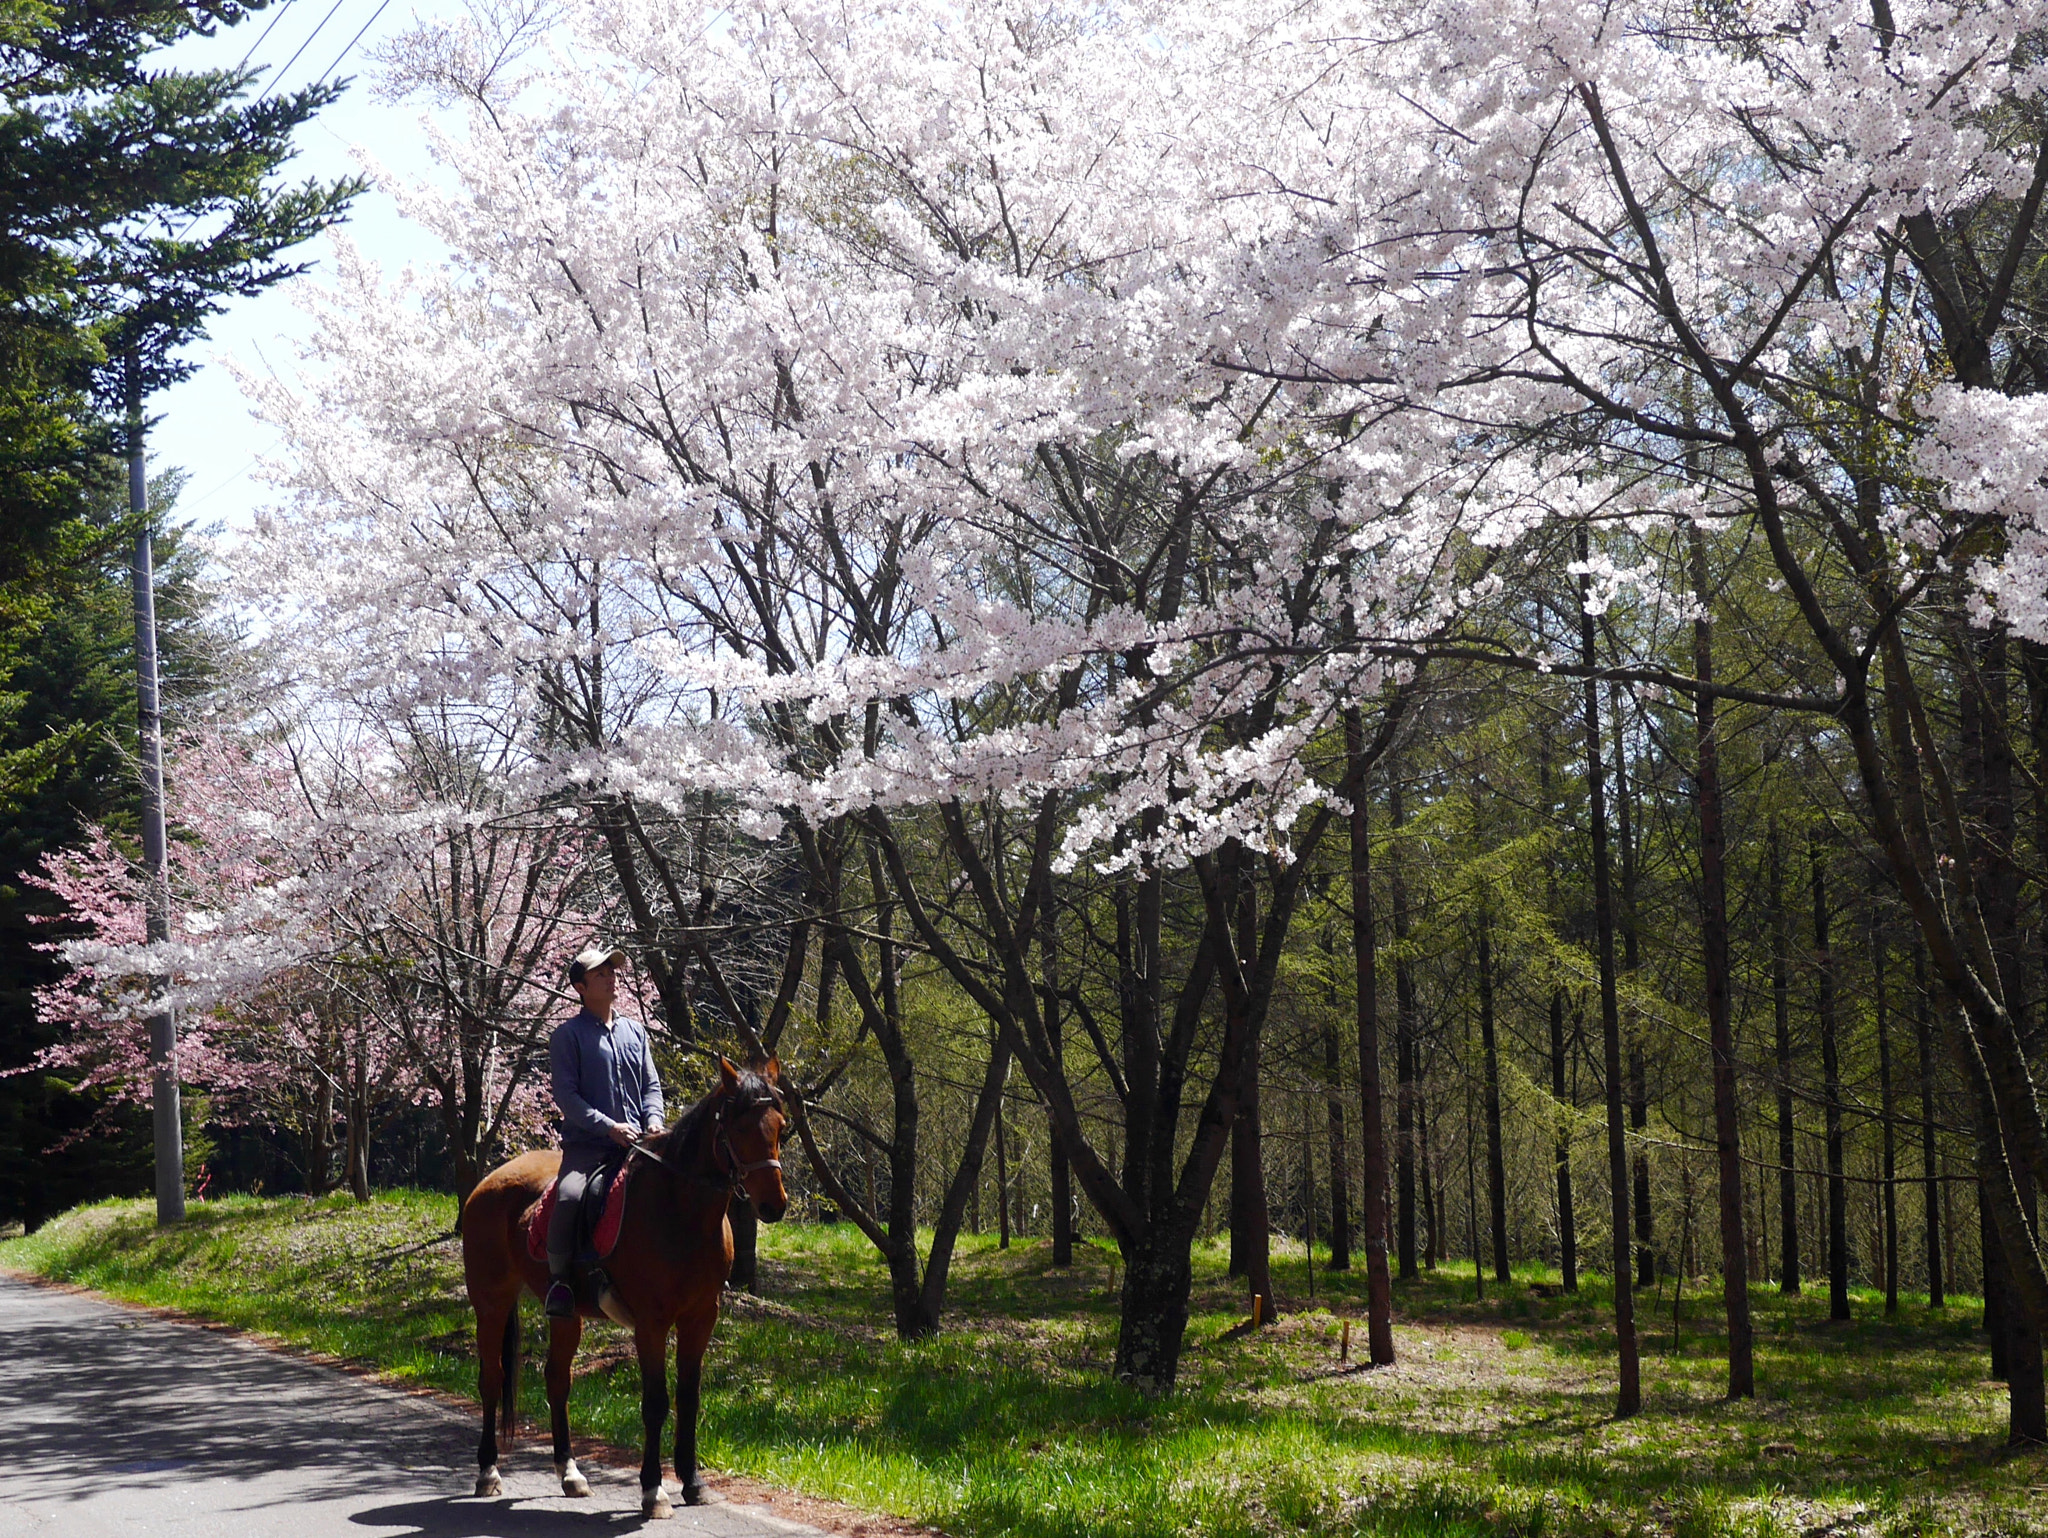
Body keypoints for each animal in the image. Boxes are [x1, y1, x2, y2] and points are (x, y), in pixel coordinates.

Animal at [460, 1056, 786, 1515]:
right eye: (739, 1129)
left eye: (781, 1126)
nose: (774, 1206)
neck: (679, 1209)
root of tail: (489, 1181)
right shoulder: (651, 1323)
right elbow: (656, 1403)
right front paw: (653, 1490)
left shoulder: (701, 1318)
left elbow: (689, 1398)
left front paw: (693, 1483)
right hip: (491, 1302)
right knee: (492, 1378)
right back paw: (488, 1472)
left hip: (565, 1314)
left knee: (556, 1379)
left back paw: (571, 1473)